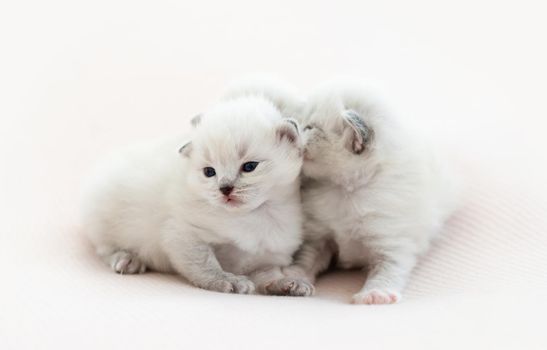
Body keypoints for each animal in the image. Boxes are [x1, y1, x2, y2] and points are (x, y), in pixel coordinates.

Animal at [81, 93, 312, 296]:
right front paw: (229, 281)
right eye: (209, 172)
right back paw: (128, 259)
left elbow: (270, 277)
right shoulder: (185, 234)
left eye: (250, 167)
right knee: (105, 248)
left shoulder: (263, 259)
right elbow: (206, 265)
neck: (254, 215)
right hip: (105, 220)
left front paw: (288, 284)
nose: (224, 188)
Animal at [284, 80, 460, 302]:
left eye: (309, 127)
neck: (346, 190)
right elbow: (306, 259)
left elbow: (387, 268)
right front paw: (294, 279)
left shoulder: (393, 240)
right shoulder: (318, 236)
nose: (290, 121)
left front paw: (375, 293)